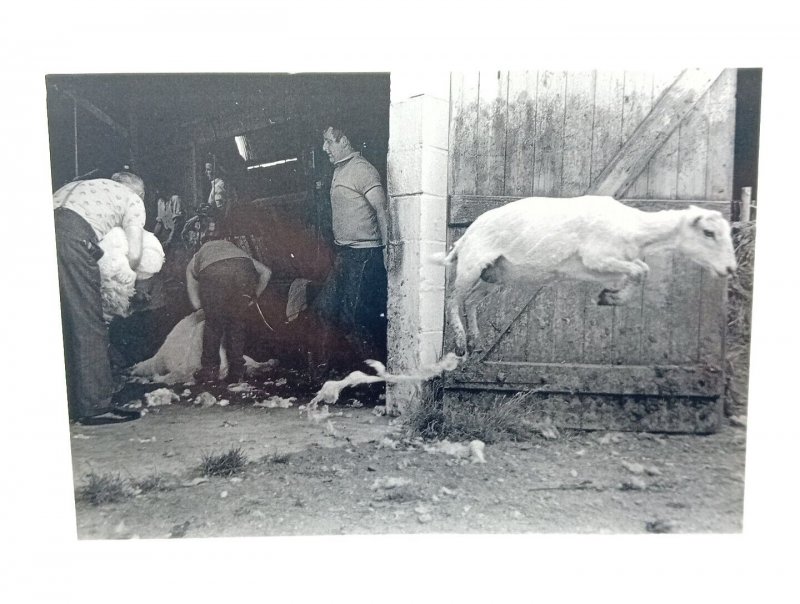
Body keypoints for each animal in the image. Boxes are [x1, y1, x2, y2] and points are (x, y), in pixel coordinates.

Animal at [438, 193, 736, 356]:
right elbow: (641, 270)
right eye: (709, 233)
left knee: (471, 301)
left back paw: (475, 341)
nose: (730, 269)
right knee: (452, 299)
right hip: (471, 264)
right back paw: (461, 343)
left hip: (496, 274)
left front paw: (609, 296)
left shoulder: (600, 267)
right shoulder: (597, 256)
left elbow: (640, 271)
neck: (635, 228)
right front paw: (610, 297)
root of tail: (465, 236)